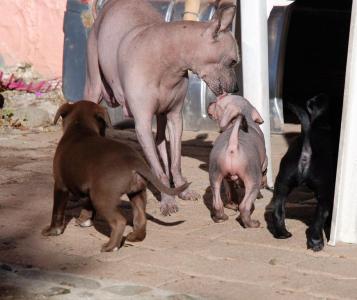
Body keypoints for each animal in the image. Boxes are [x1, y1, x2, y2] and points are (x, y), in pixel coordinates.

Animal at [42, 101, 189, 251]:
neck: (80, 127)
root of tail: (133, 161)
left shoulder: (60, 185)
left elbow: (57, 211)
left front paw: (53, 231)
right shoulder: (89, 188)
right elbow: (87, 206)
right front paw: (84, 220)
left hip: (102, 197)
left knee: (119, 221)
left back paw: (111, 246)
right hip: (137, 192)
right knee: (141, 218)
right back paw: (134, 237)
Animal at [84, 0, 239, 216]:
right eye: (233, 61)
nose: (237, 88)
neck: (167, 61)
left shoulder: (175, 117)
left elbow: (175, 163)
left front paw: (182, 189)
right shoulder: (142, 124)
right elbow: (157, 171)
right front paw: (167, 200)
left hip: (162, 118)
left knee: (161, 144)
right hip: (94, 86)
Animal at [206, 94, 268, 227]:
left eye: (218, 102)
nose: (210, 103)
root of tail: (233, 145)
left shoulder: (227, 178)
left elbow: (231, 190)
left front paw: (232, 202)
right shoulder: (264, 164)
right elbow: (264, 174)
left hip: (215, 175)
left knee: (217, 202)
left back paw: (221, 217)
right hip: (253, 179)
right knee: (244, 205)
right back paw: (251, 223)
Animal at [272, 94, 336, 251]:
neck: (320, 123)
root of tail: (307, 147)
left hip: (282, 183)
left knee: (277, 210)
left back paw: (282, 233)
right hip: (325, 193)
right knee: (318, 219)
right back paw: (316, 242)